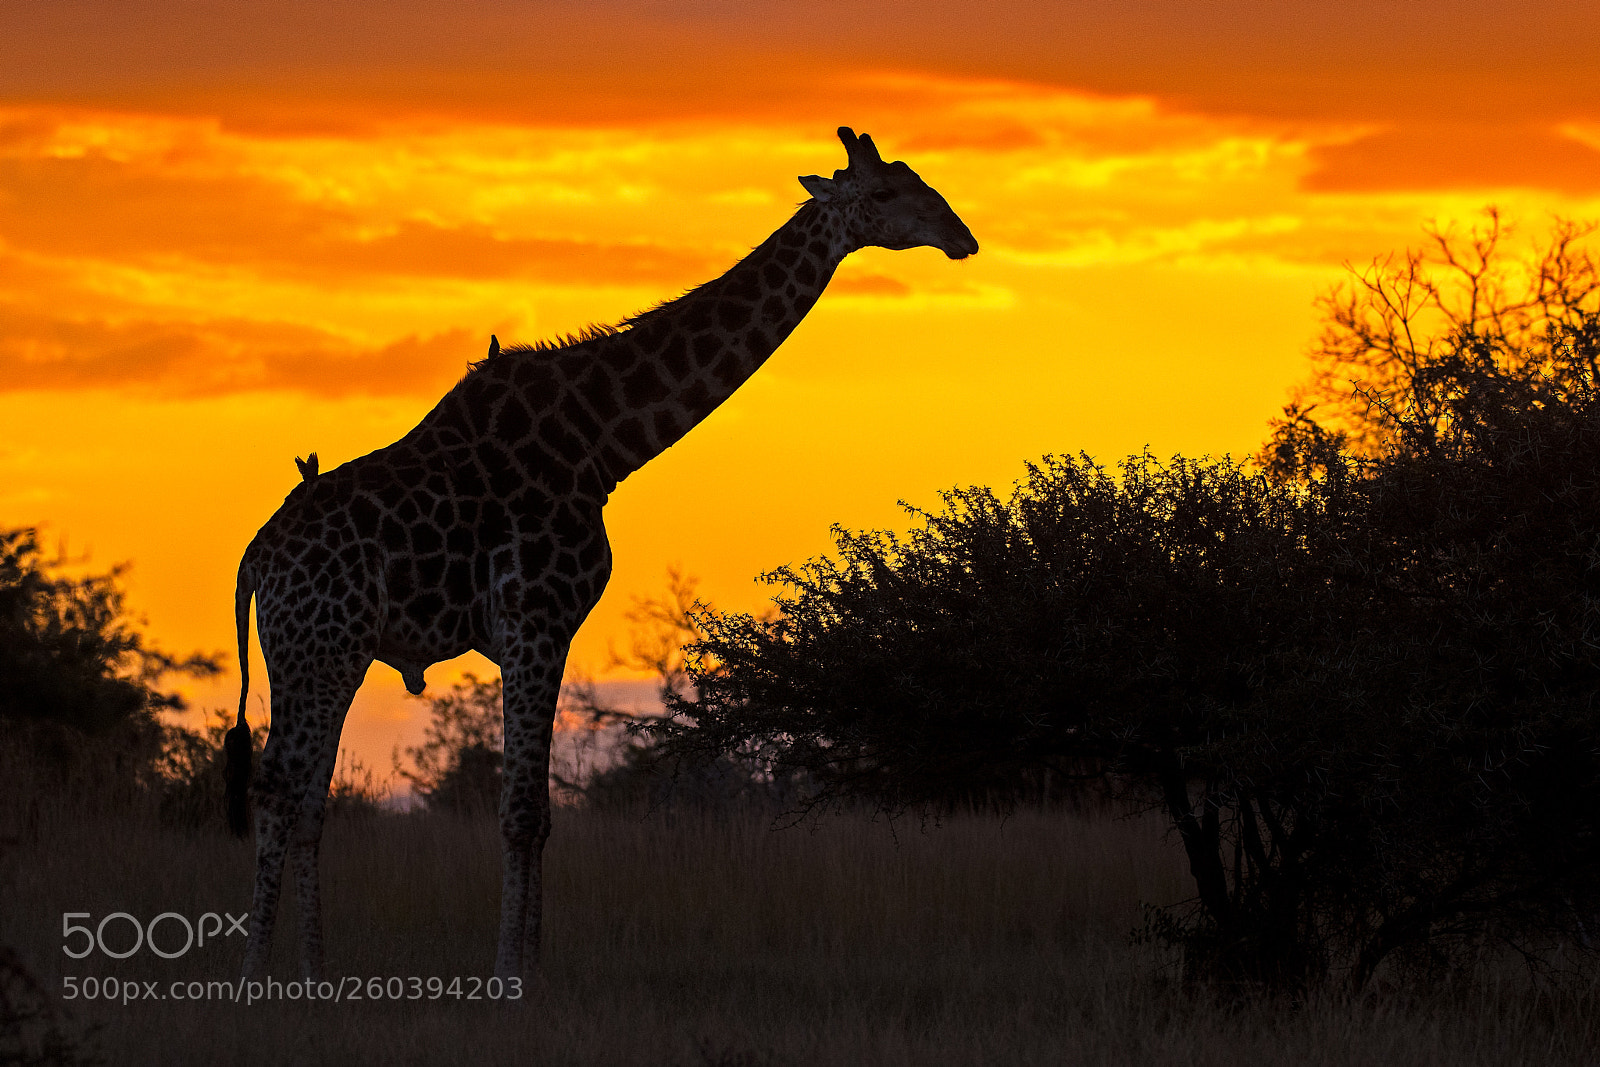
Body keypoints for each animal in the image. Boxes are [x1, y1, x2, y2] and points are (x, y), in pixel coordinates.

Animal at [225, 126, 979, 982]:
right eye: (884, 193)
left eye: (921, 180)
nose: (961, 235)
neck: (601, 443)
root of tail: (255, 559)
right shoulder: (534, 619)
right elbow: (521, 810)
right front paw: (508, 976)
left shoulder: (548, 630)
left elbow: (546, 811)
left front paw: (534, 967)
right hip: (319, 648)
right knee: (281, 788)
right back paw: (256, 975)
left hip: (324, 654)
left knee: (307, 797)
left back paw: (314, 972)